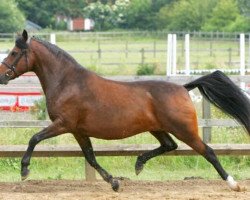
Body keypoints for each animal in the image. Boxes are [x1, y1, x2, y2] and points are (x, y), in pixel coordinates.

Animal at [0, 30, 250, 192]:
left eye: (13, 52)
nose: (2, 76)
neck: (68, 82)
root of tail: (183, 87)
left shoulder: (63, 124)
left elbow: (34, 138)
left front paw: (24, 170)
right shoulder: (79, 131)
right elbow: (90, 158)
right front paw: (114, 182)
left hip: (184, 130)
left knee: (208, 152)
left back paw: (233, 184)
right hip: (158, 129)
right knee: (169, 146)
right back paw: (139, 163)